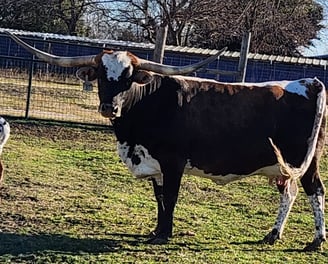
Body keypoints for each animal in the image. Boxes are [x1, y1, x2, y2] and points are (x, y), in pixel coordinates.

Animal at [7, 32, 326, 251]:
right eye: (100, 76)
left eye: (129, 77)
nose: (109, 107)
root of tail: (310, 82)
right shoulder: (155, 164)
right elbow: (159, 198)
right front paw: (156, 230)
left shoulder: (174, 162)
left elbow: (171, 197)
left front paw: (164, 235)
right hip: (291, 165)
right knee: (297, 192)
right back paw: (282, 236)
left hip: (303, 161)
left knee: (310, 192)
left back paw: (307, 239)